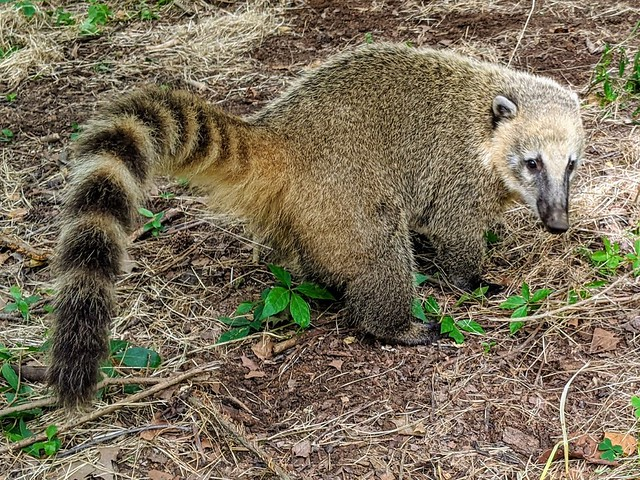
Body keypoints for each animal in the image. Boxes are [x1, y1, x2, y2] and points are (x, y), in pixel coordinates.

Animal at [49, 44, 584, 407]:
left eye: (572, 165)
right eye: (532, 163)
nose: (558, 223)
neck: (489, 115)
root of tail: (281, 135)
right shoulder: (457, 169)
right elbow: (454, 227)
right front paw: (471, 278)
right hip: (347, 189)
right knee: (380, 253)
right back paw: (393, 324)